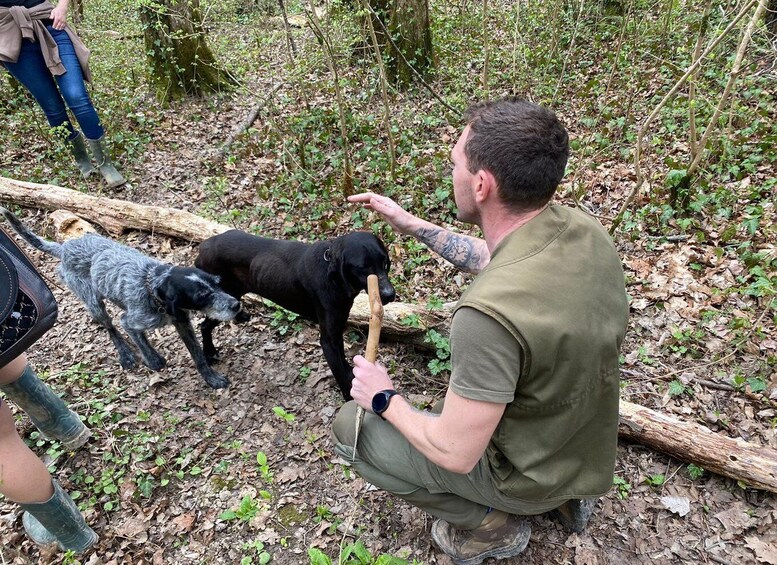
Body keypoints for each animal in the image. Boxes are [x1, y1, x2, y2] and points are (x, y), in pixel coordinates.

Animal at [0, 207, 241, 388]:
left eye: (217, 284)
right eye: (202, 295)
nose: (236, 305)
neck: (151, 283)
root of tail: (64, 248)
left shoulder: (182, 323)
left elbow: (198, 355)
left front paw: (211, 378)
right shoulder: (131, 320)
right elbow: (136, 336)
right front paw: (152, 359)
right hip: (93, 302)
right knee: (110, 327)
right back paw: (125, 353)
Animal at [197, 229, 398, 396]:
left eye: (385, 263)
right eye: (363, 268)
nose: (389, 294)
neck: (331, 276)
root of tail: (203, 246)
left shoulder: (337, 330)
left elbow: (343, 361)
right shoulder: (328, 340)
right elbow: (341, 375)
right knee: (204, 325)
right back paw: (209, 352)